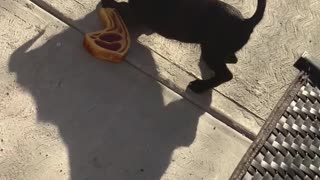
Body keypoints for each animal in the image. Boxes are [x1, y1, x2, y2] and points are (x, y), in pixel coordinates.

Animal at [101, 0, 266, 93]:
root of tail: (246, 22)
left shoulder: (135, 14)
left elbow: (119, 6)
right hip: (215, 50)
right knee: (232, 59)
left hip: (212, 51)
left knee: (226, 74)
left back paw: (200, 87)